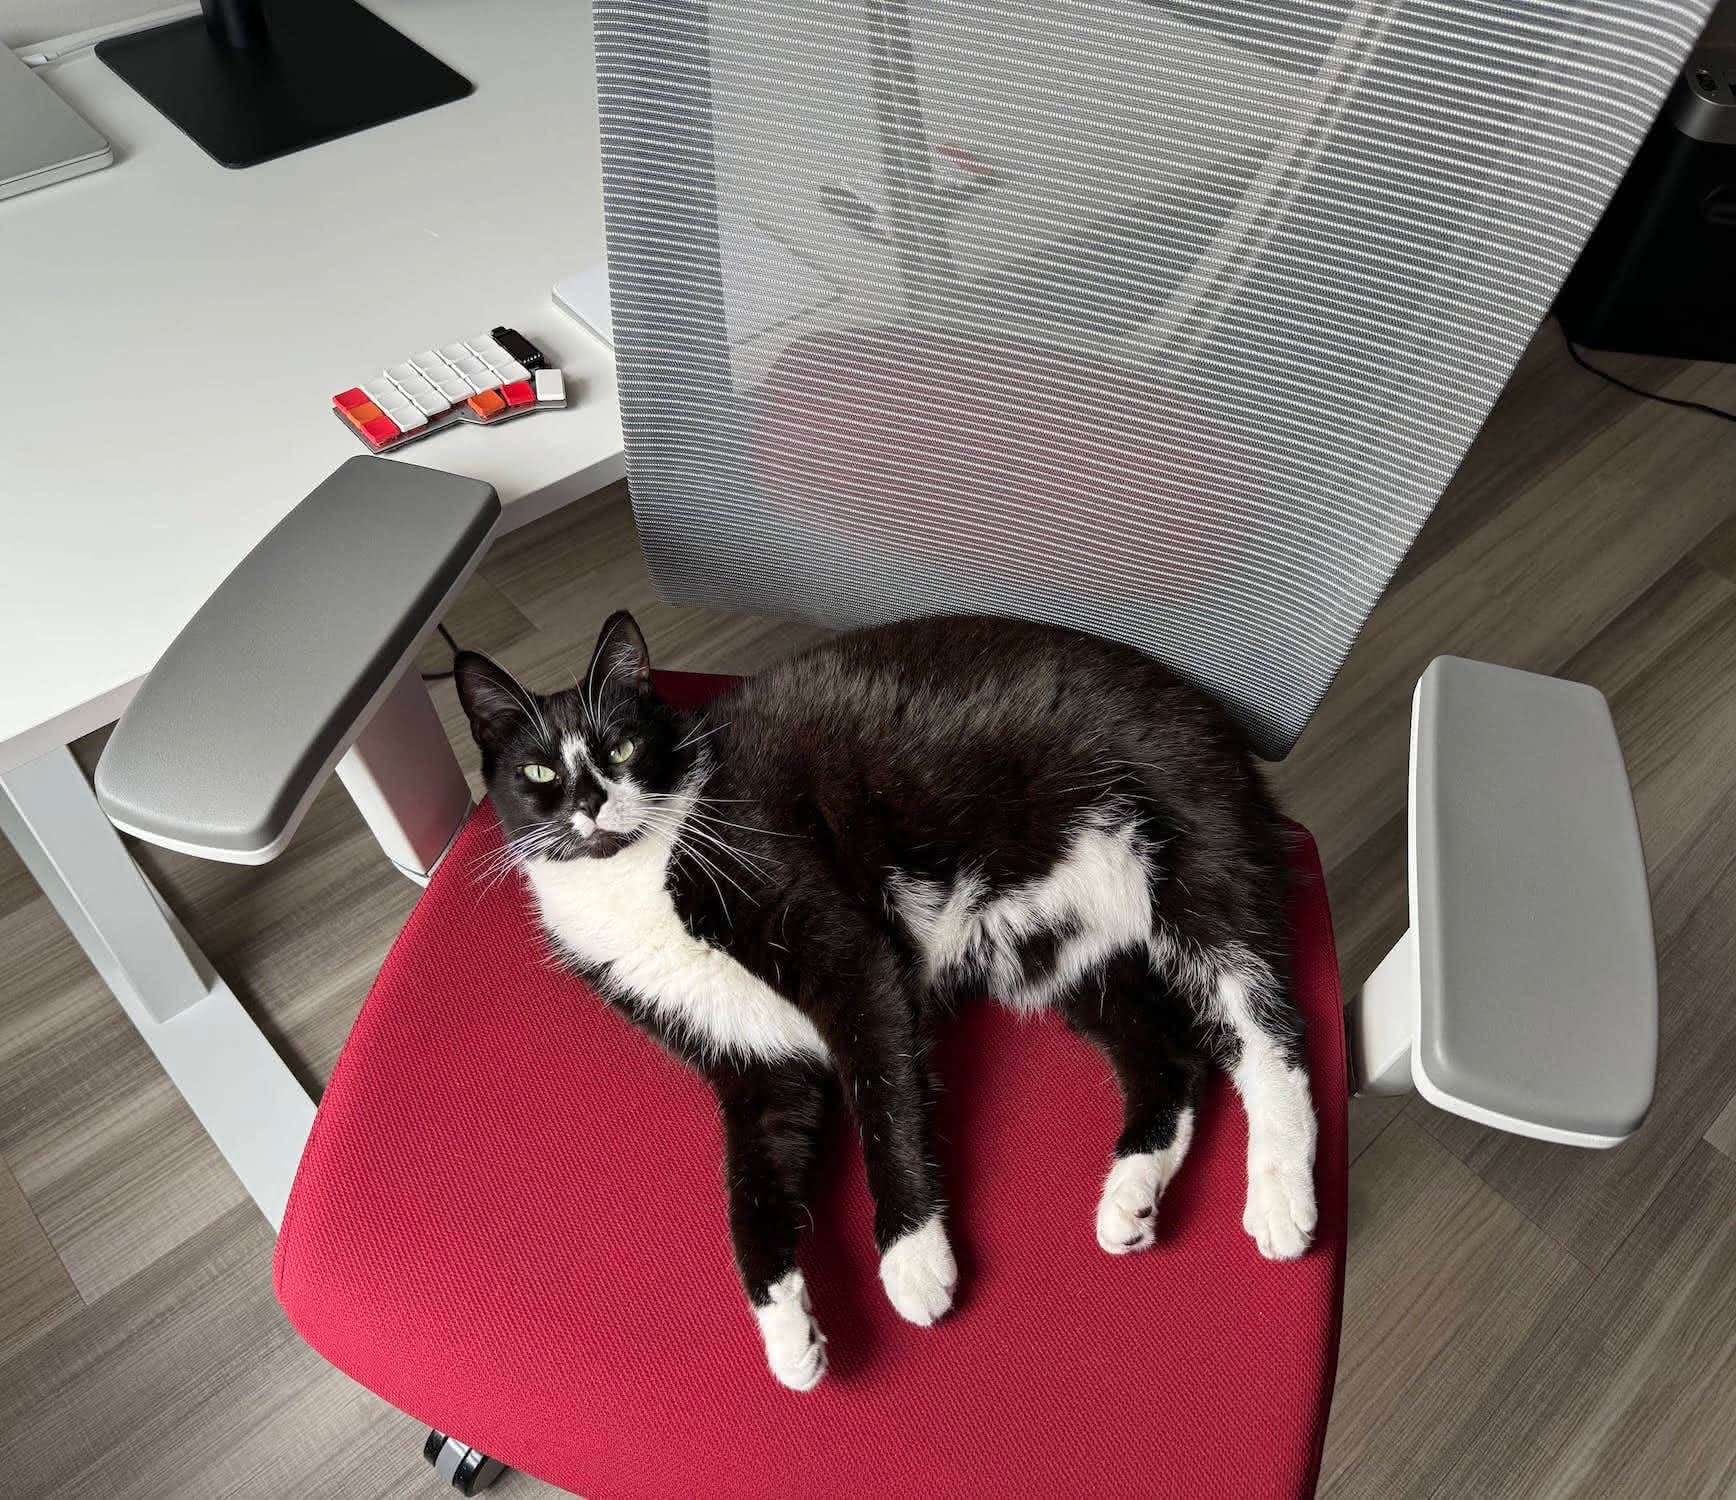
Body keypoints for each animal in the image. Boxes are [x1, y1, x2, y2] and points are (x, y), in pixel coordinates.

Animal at [458, 611, 1312, 1395]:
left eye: (624, 749)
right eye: (538, 775)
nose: (590, 805)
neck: (638, 872)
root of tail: (1210, 715)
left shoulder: (843, 949)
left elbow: (883, 1098)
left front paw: (913, 1256)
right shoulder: (754, 1068)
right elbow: (749, 1193)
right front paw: (788, 1334)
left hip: (1188, 850)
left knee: (1266, 1028)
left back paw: (1279, 1194)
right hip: (1059, 950)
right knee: (1169, 1055)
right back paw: (1131, 1193)